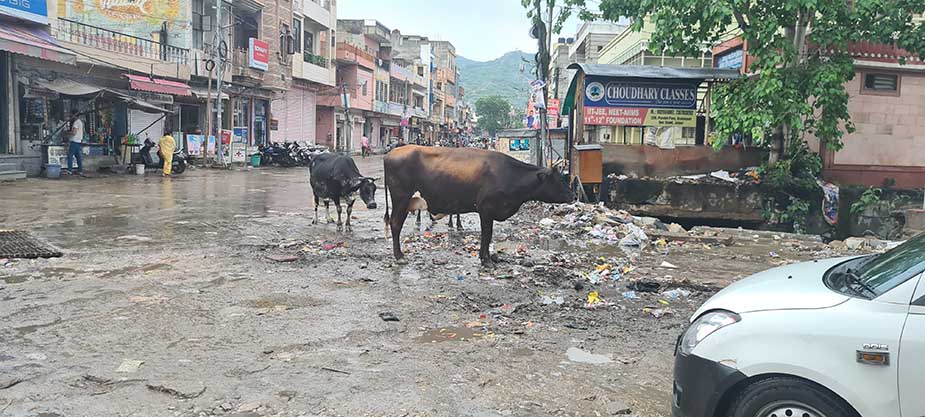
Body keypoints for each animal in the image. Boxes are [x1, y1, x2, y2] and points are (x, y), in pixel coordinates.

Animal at [380, 145, 572, 264]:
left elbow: (487, 235)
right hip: (401, 198)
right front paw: (485, 259)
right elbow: (487, 234)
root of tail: (390, 154)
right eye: (559, 180)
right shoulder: (486, 209)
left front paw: (487, 257)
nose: (573, 194)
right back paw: (399, 256)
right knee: (395, 224)